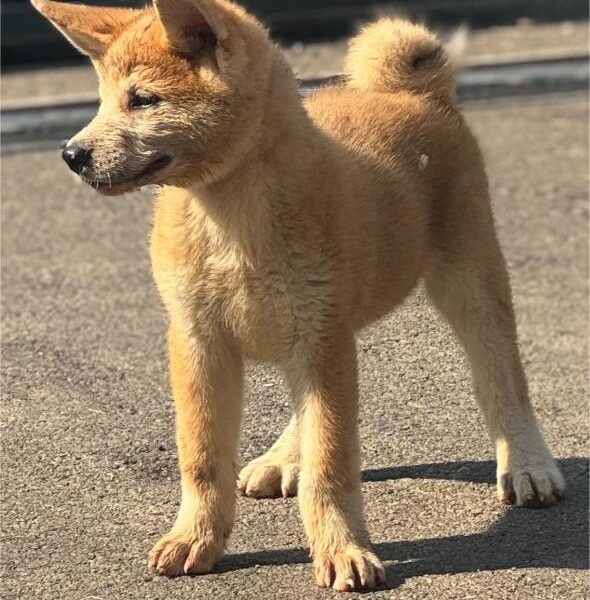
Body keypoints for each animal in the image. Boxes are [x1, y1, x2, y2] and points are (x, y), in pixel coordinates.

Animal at [33, 0, 568, 592]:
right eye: (102, 99)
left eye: (143, 100)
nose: (71, 154)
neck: (229, 220)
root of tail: (414, 91)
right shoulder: (200, 341)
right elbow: (202, 459)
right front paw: (196, 538)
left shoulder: (320, 336)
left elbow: (330, 464)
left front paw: (342, 548)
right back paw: (284, 457)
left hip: (467, 283)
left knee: (503, 378)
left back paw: (527, 464)